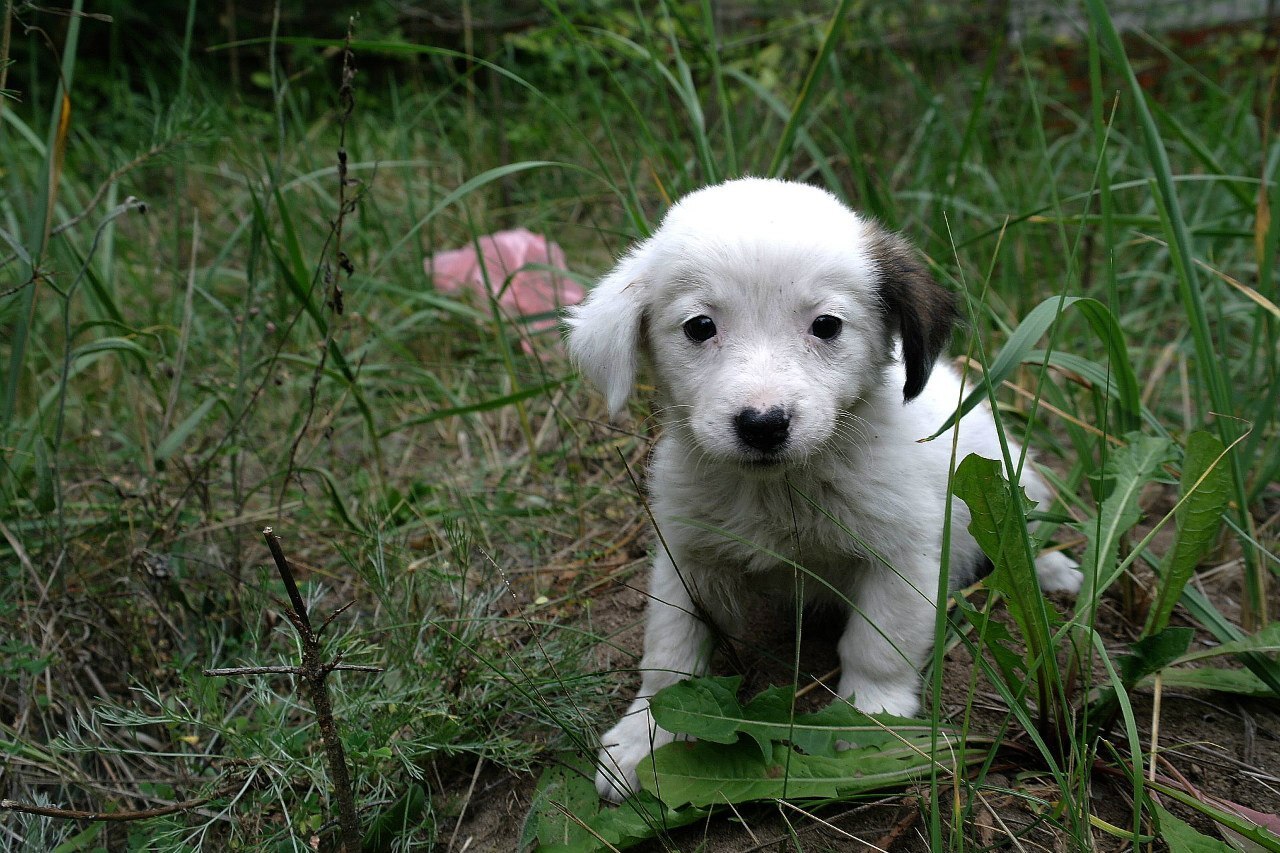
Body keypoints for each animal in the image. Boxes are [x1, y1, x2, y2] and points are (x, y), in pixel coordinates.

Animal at [565, 175, 1075, 799]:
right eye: (700, 326)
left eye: (827, 325)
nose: (763, 424)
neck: (782, 491)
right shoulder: (685, 554)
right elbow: (670, 654)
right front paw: (644, 737)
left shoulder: (901, 556)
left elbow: (877, 646)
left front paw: (869, 720)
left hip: (1012, 479)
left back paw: (1050, 568)